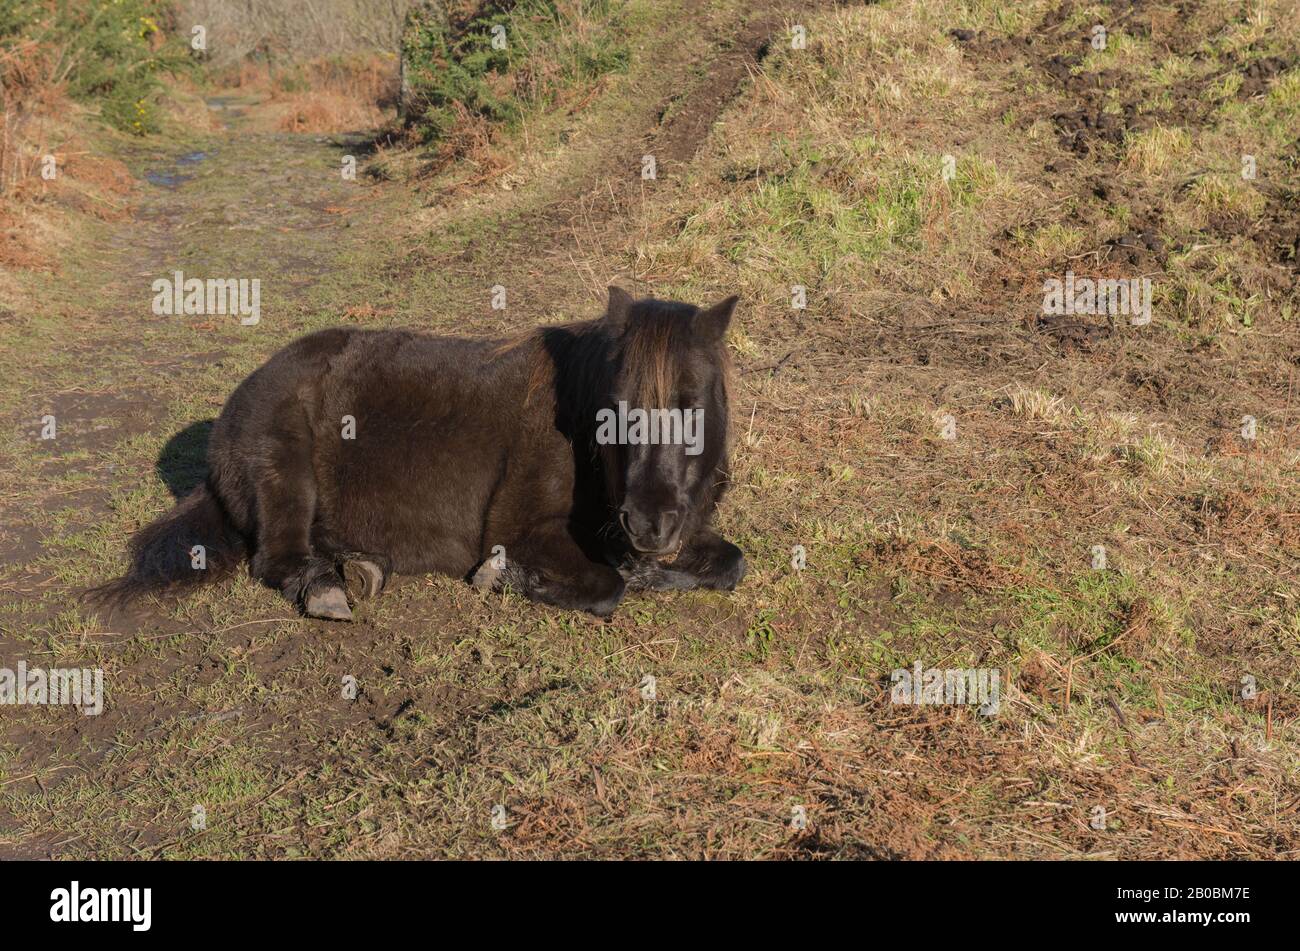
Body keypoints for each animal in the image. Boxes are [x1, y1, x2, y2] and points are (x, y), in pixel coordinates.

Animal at [96, 285, 748, 621]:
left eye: (693, 405)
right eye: (615, 407)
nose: (649, 524)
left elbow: (730, 563)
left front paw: (653, 570)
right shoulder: (526, 530)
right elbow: (606, 588)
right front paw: (503, 577)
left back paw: (362, 566)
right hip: (283, 472)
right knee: (277, 557)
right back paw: (325, 587)